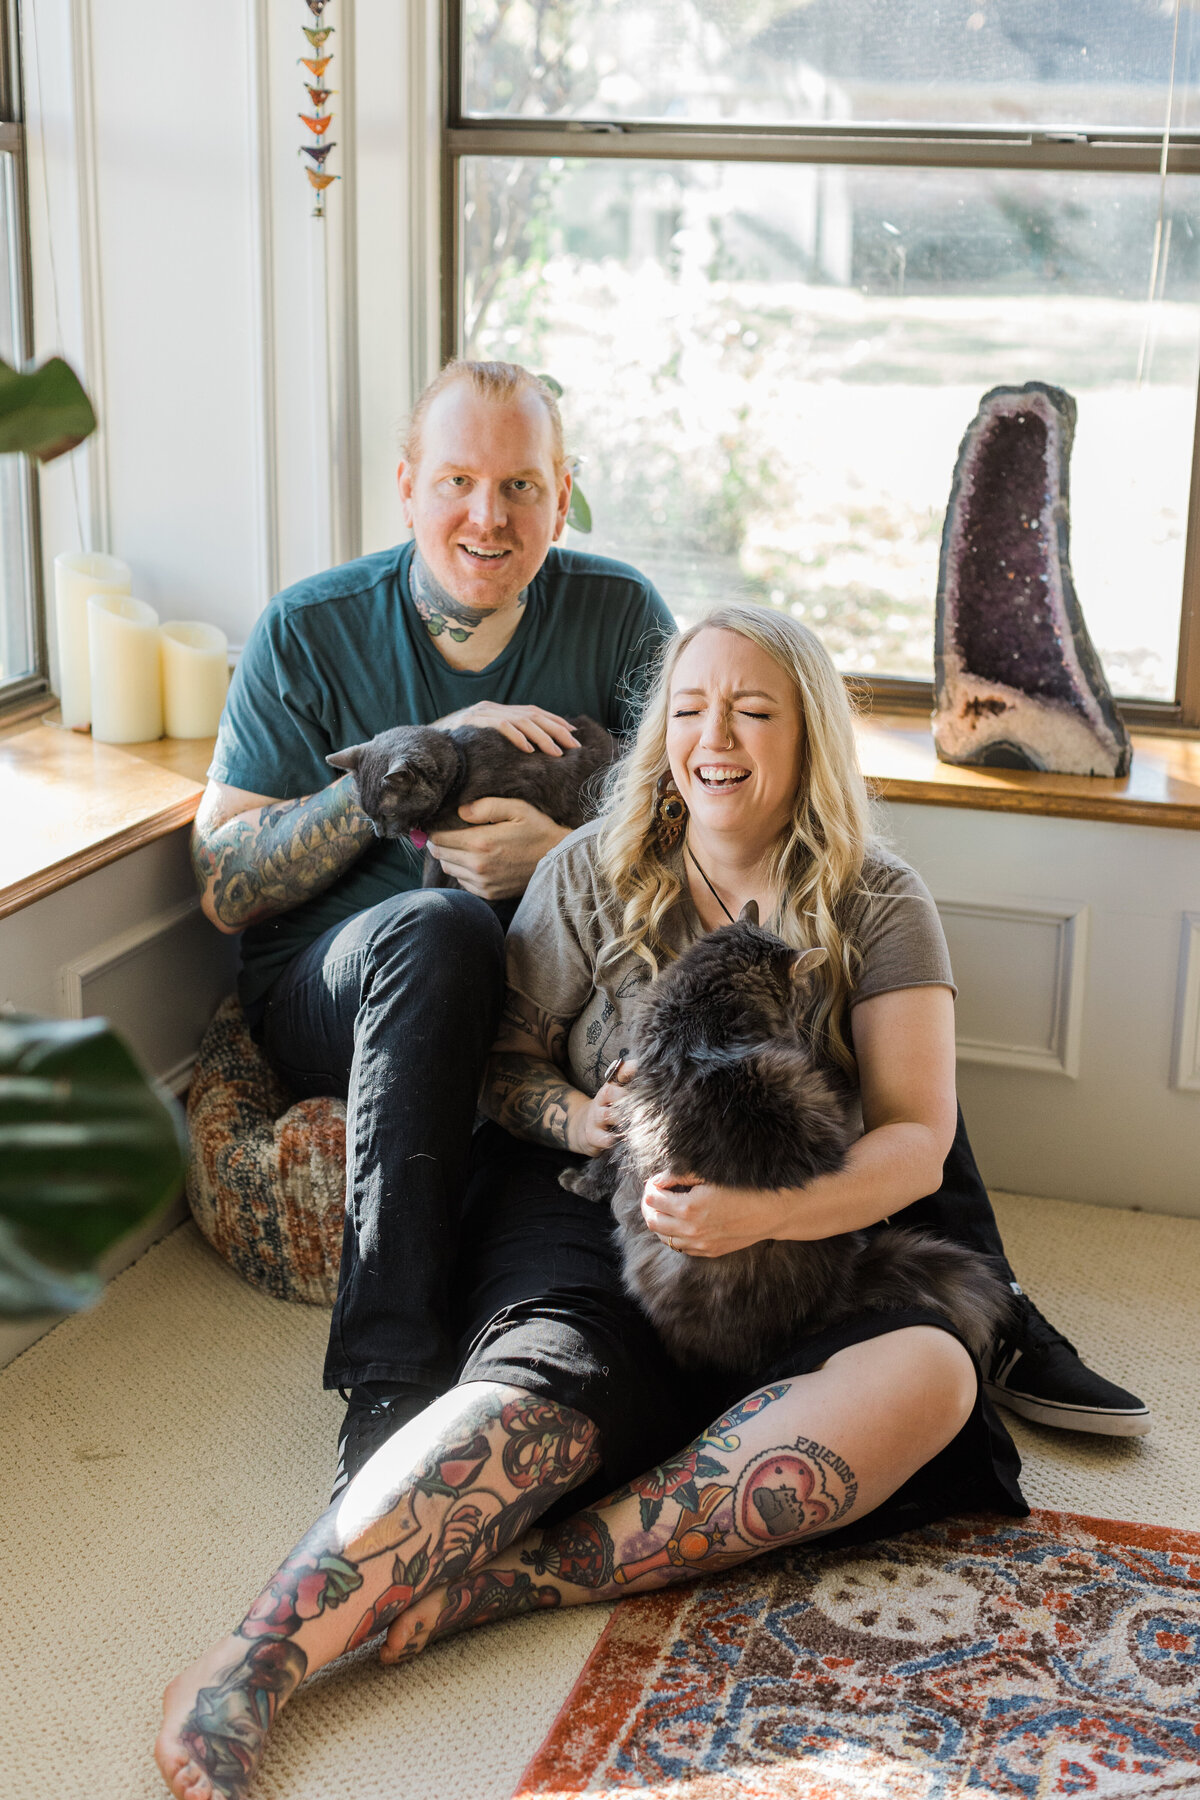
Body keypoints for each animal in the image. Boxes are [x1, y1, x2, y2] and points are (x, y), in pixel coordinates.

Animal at [557, 907, 1007, 1368]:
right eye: (799, 993)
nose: (799, 1014)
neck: (702, 1016)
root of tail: (829, 1294)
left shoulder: (629, 1107)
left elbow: (601, 1162)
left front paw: (574, 1181)